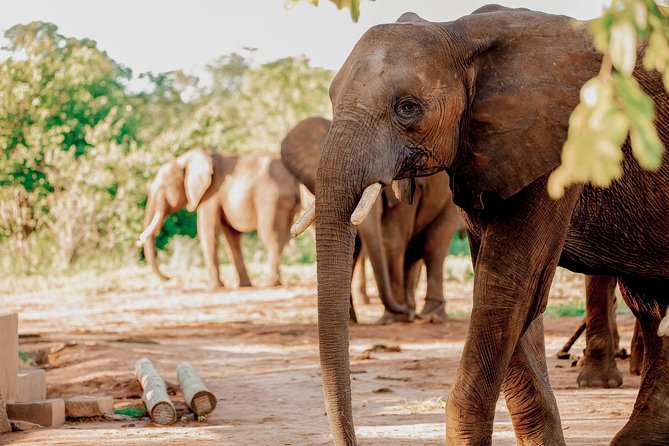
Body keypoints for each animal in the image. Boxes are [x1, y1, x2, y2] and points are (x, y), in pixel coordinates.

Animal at [138, 148, 301, 289]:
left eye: (164, 186)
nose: (171, 278)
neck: (184, 159)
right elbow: (231, 238)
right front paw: (243, 286)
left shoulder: (210, 194)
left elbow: (208, 233)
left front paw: (214, 287)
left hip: (271, 199)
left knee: (270, 236)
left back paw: (268, 284)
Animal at [281, 117, 461, 323]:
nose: (406, 313)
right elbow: (356, 248)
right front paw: (356, 319)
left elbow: (392, 240)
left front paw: (393, 319)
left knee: (434, 246)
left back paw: (429, 315)